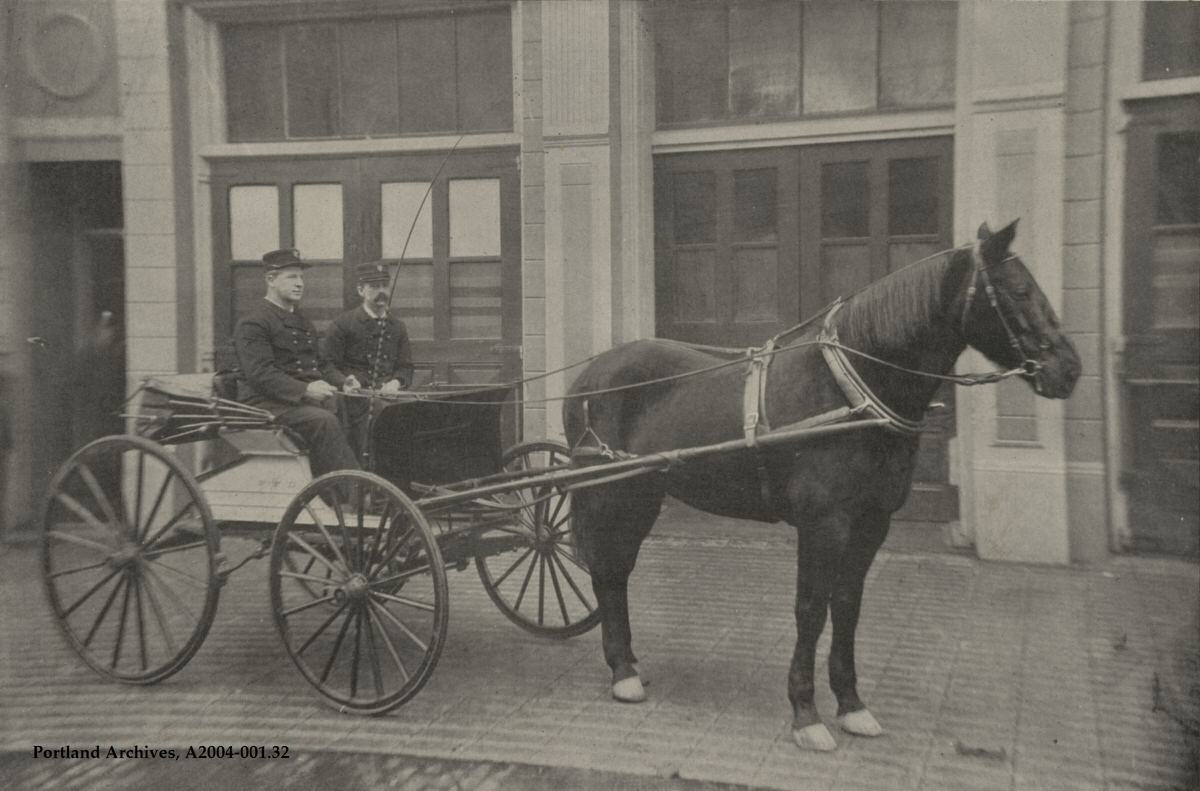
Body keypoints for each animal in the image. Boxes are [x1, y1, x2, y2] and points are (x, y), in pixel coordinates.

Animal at [561, 219, 1080, 753]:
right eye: (1019, 291)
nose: (1069, 369)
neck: (849, 391)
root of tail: (591, 373)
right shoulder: (822, 525)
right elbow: (811, 609)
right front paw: (806, 713)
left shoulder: (872, 523)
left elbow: (847, 606)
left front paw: (852, 705)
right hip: (609, 494)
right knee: (606, 569)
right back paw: (622, 672)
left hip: (640, 495)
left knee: (616, 570)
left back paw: (628, 665)